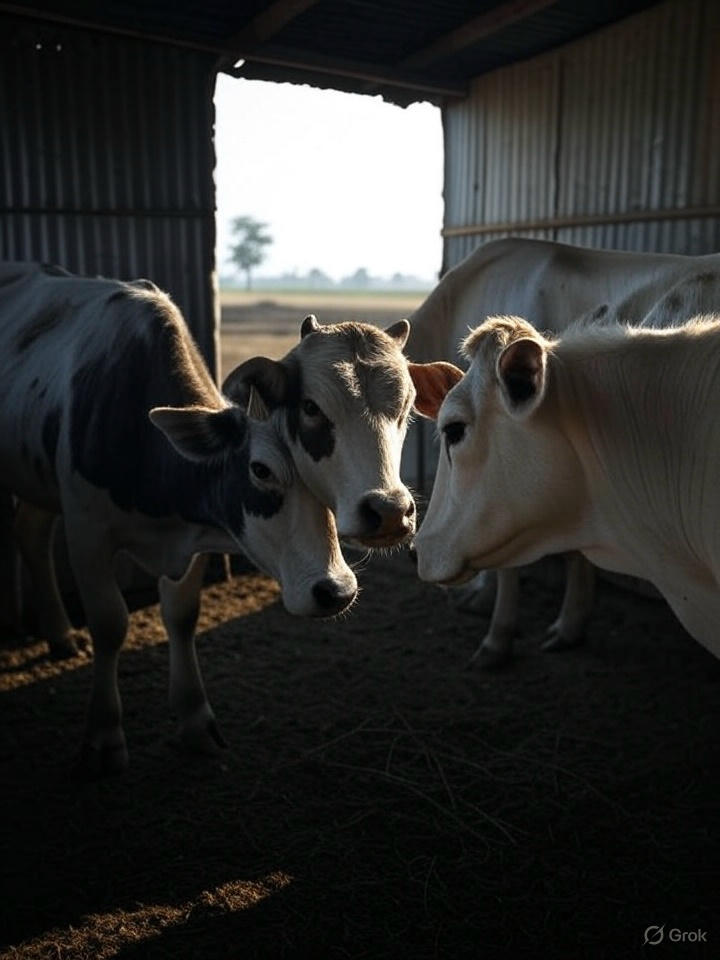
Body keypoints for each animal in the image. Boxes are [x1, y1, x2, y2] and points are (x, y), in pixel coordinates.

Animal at [0, 262, 358, 777]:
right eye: (261, 470)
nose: (337, 591)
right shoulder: (87, 529)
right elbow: (110, 623)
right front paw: (104, 735)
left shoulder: (196, 536)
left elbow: (182, 615)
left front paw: (195, 718)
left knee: (30, 531)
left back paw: (60, 635)